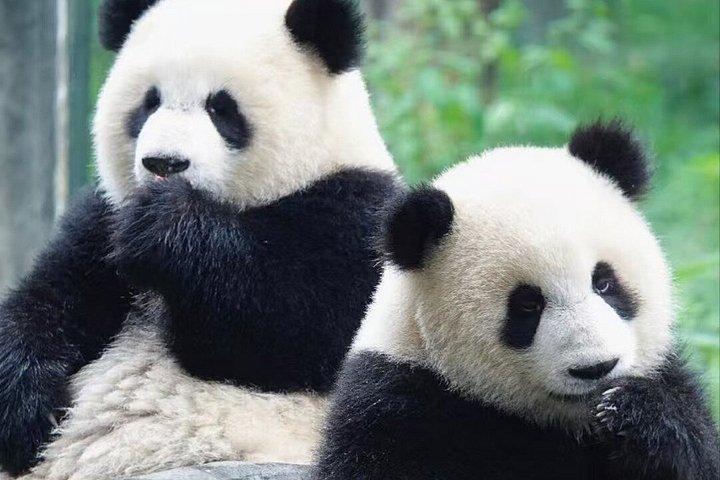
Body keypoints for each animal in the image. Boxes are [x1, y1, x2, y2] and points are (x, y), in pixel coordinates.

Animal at [0, 0, 400, 478]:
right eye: (149, 102)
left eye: (221, 108)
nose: (164, 163)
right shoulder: (101, 220)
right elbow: (50, 298)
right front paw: (25, 408)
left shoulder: (362, 222)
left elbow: (290, 323)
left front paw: (165, 227)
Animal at [315, 121, 720, 480]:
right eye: (527, 305)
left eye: (604, 283)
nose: (596, 368)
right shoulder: (396, 407)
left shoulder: (669, 375)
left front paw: (636, 414)